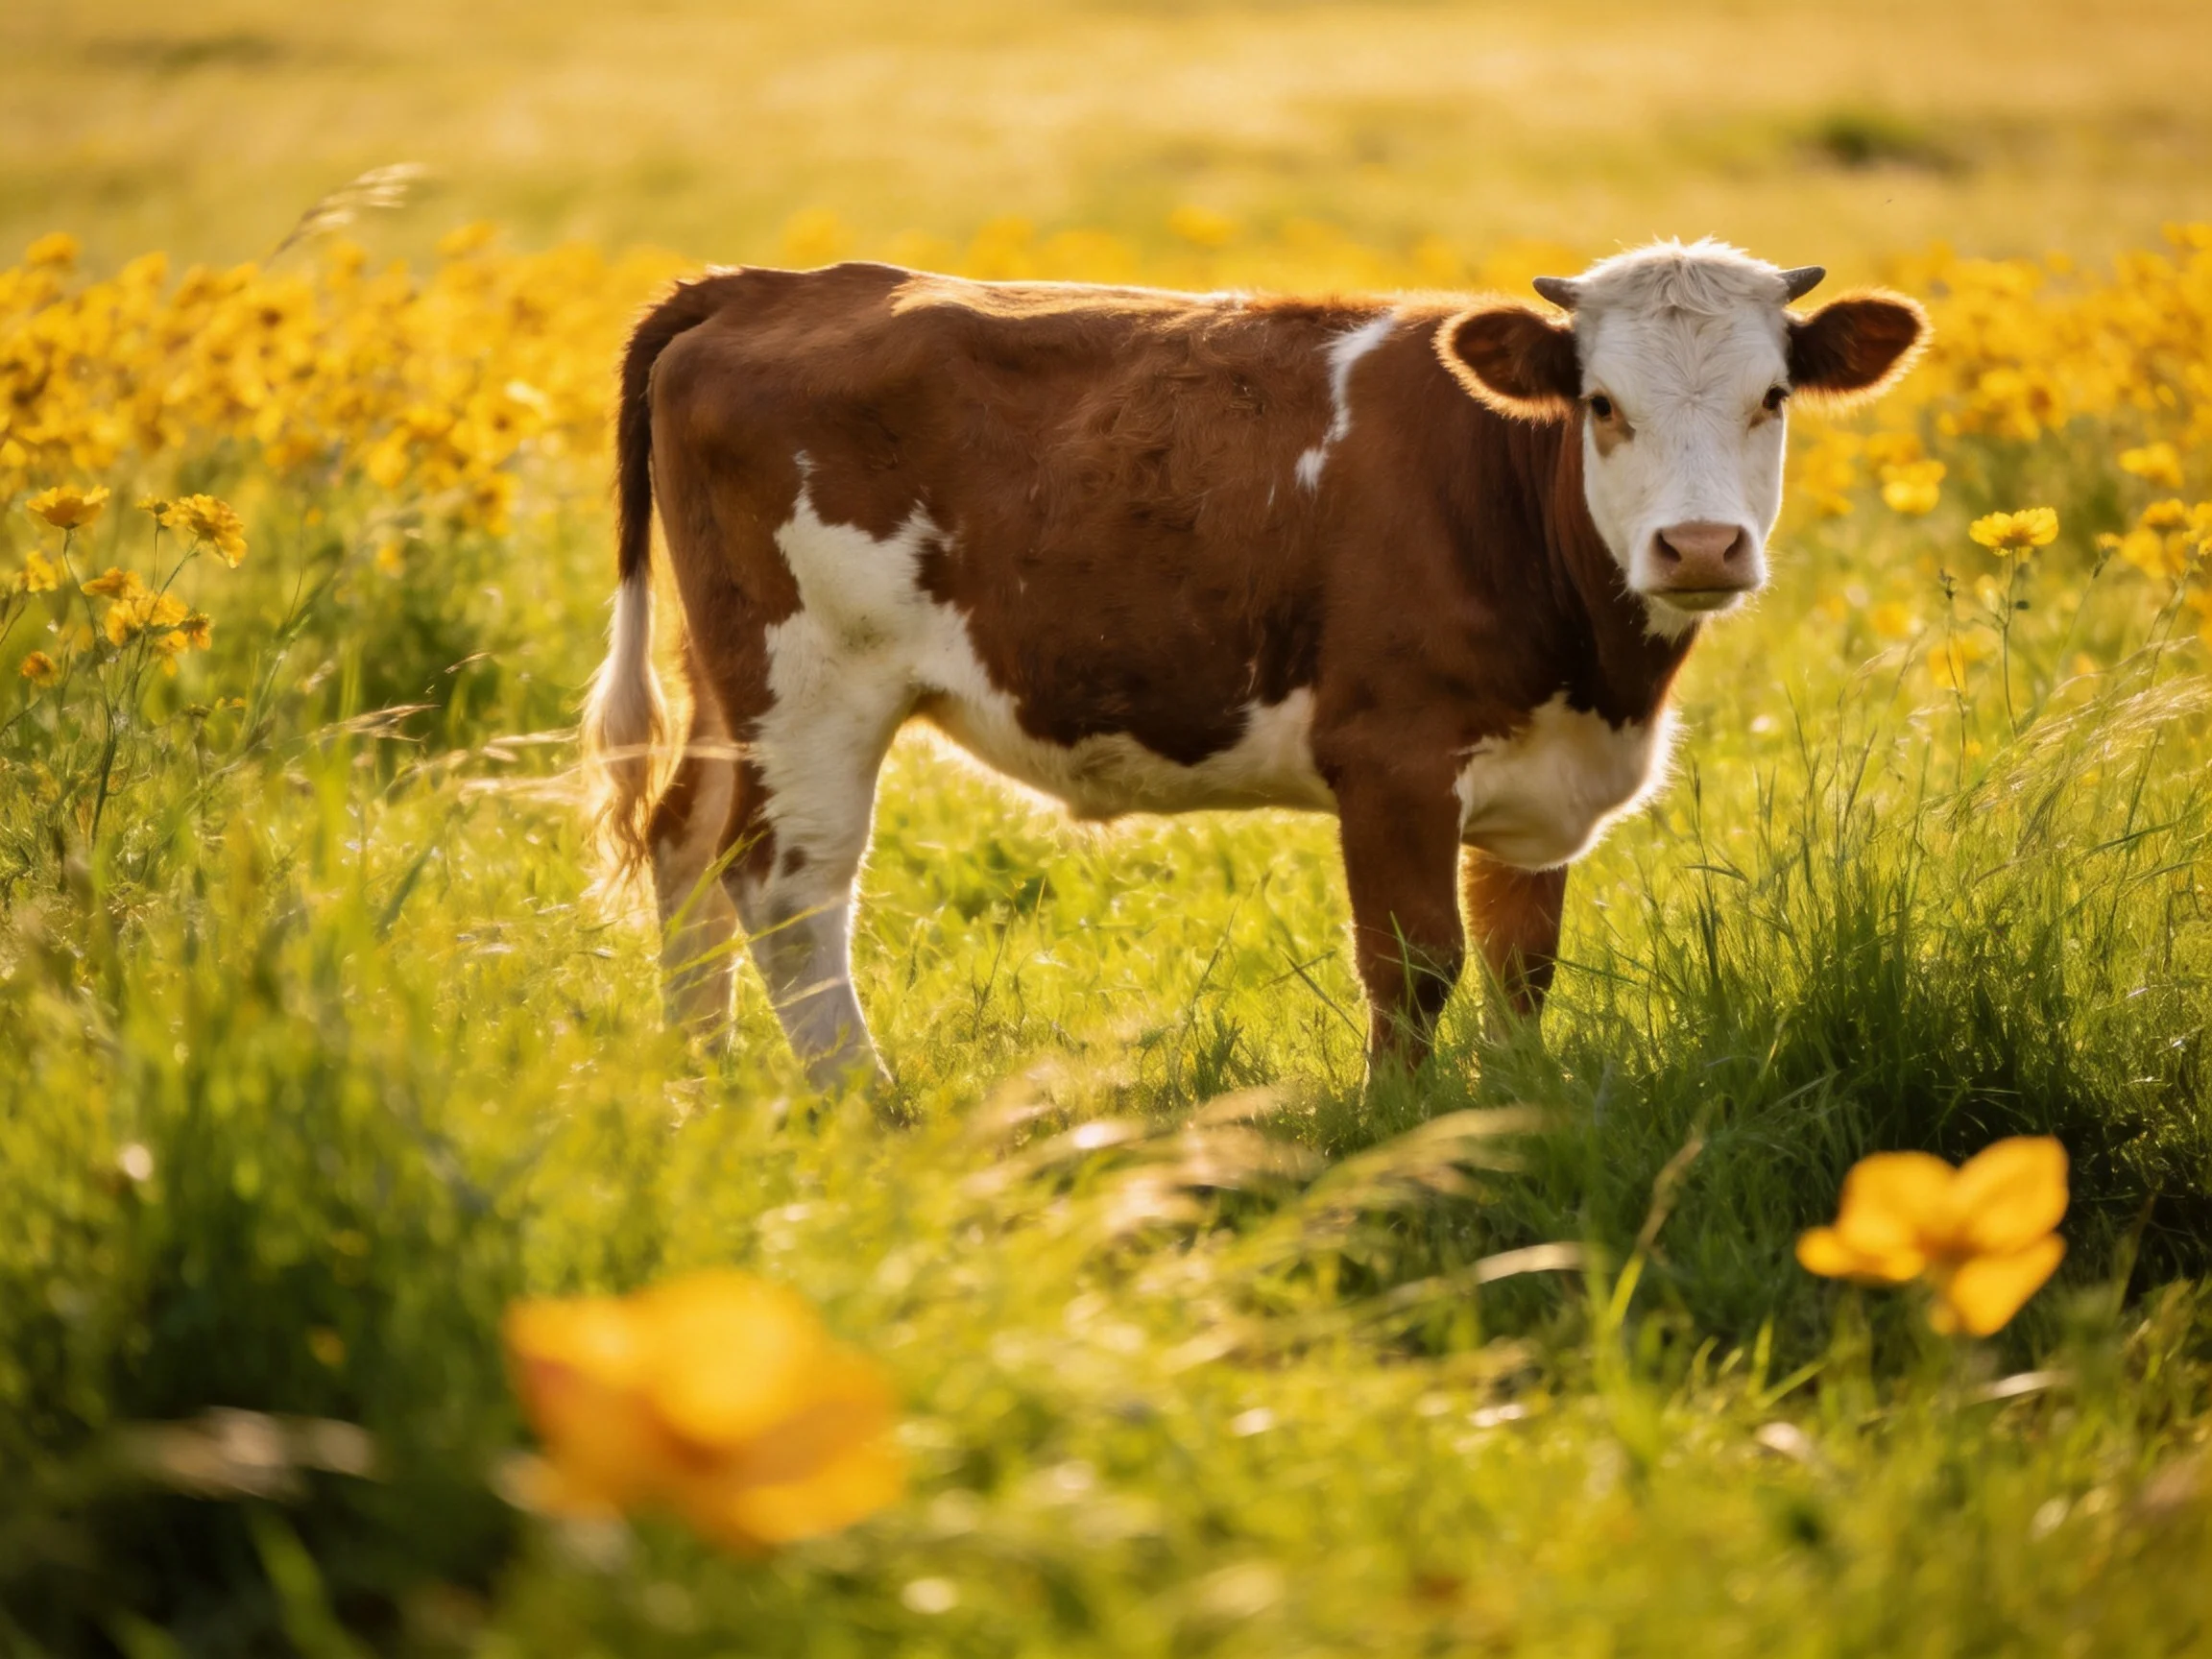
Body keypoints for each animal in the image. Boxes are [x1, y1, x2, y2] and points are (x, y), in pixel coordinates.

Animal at [580, 239, 1926, 1089]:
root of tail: (764, 286)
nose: (1699, 544)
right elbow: (1414, 963)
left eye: (1772, 398)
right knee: (786, 888)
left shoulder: (1539, 776)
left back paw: (701, 1079)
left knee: (685, 846)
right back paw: (867, 1104)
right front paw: (1397, 1127)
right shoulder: (1391, 760)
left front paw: (1514, 1116)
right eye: (1601, 405)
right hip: (809, 686)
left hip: (725, 682)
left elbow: (1521, 963)